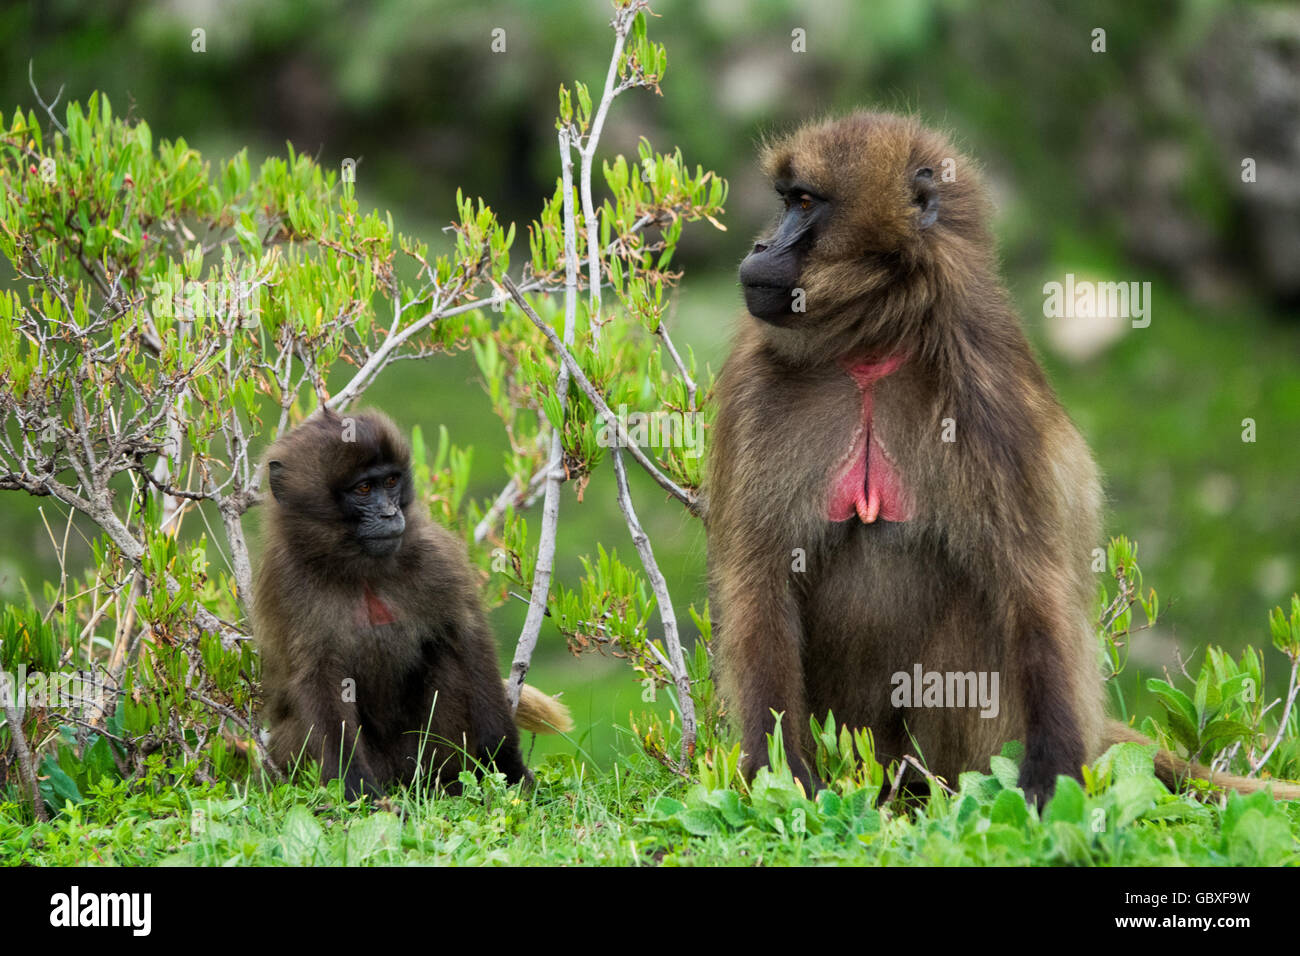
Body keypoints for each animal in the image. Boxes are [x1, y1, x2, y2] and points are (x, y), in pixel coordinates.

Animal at [256, 405, 572, 801]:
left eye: (391, 482)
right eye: (363, 488)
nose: (390, 515)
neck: (361, 570)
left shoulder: (436, 557)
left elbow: (468, 639)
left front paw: (508, 768)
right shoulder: (287, 579)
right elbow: (319, 677)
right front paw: (358, 792)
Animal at [712, 108, 1300, 806]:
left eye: (803, 203)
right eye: (786, 201)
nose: (757, 250)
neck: (871, 348)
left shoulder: (989, 391)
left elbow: (1034, 585)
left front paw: (1050, 776)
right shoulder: (756, 387)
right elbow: (760, 583)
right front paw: (782, 776)